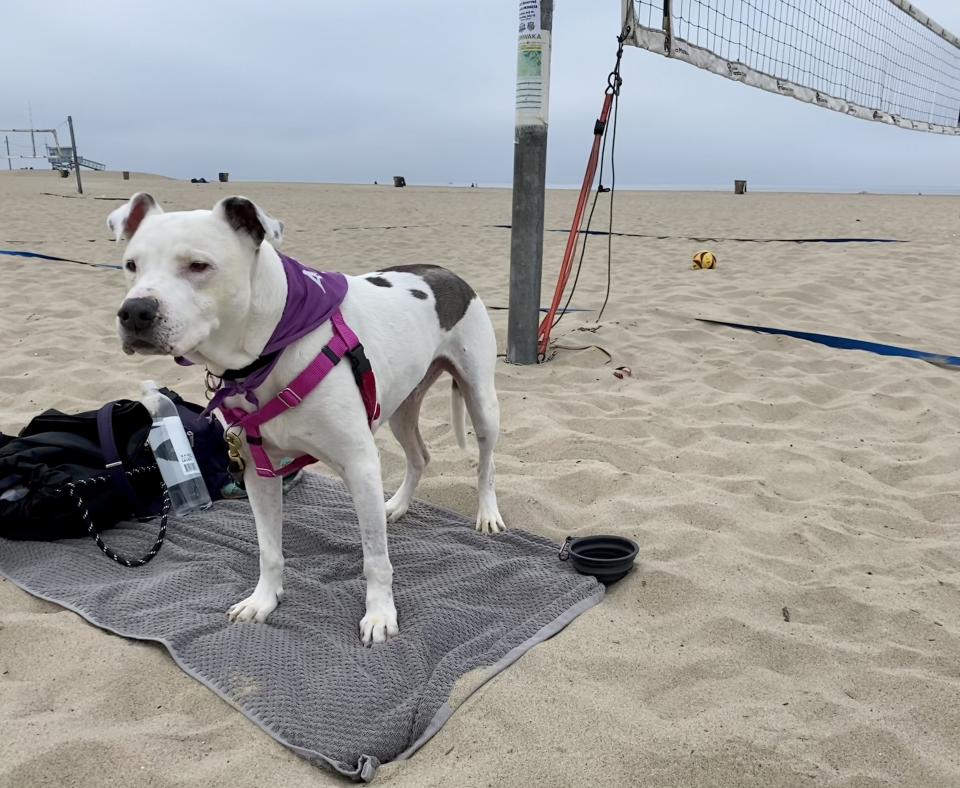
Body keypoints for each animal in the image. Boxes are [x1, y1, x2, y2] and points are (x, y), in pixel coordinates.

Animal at [109, 194, 506, 644]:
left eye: (198, 265)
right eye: (131, 265)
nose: (134, 311)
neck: (268, 352)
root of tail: (446, 272)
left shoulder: (360, 465)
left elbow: (375, 558)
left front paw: (380, 614)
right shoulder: (257, 471)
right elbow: (269, 550)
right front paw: (263, 600)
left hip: (481, 400)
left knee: (486, 463)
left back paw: (487, 514)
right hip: (402, 408)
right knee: (420, 456)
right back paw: (398, 505)